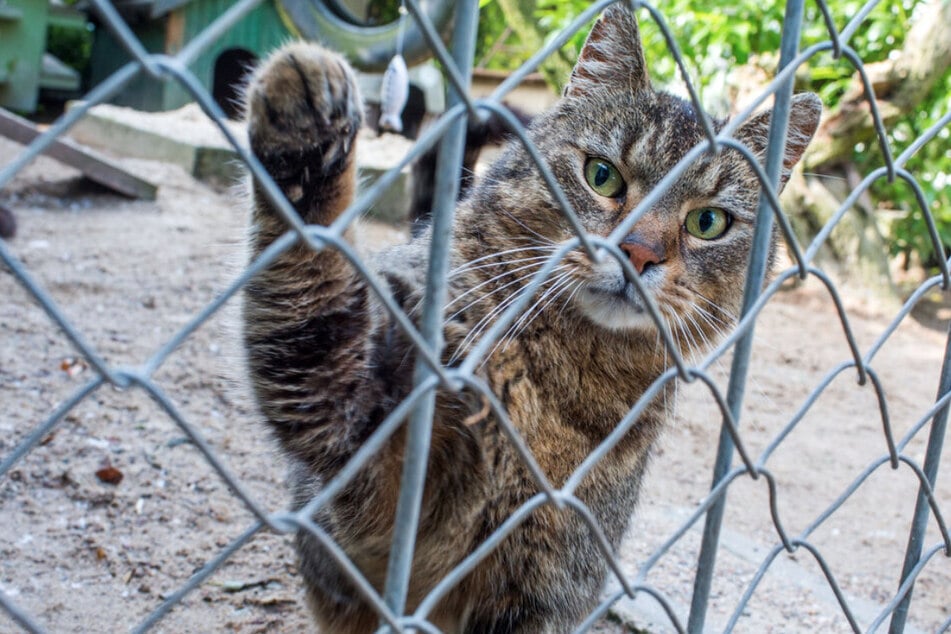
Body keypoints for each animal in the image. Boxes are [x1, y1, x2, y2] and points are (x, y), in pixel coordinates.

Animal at [238, 3, 820, 628]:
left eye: (707, 222)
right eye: (602, 175)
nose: (638, 252)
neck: (559, 380)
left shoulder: (548, 585)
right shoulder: (364, 422)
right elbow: (313, 281)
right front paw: (307, 117)